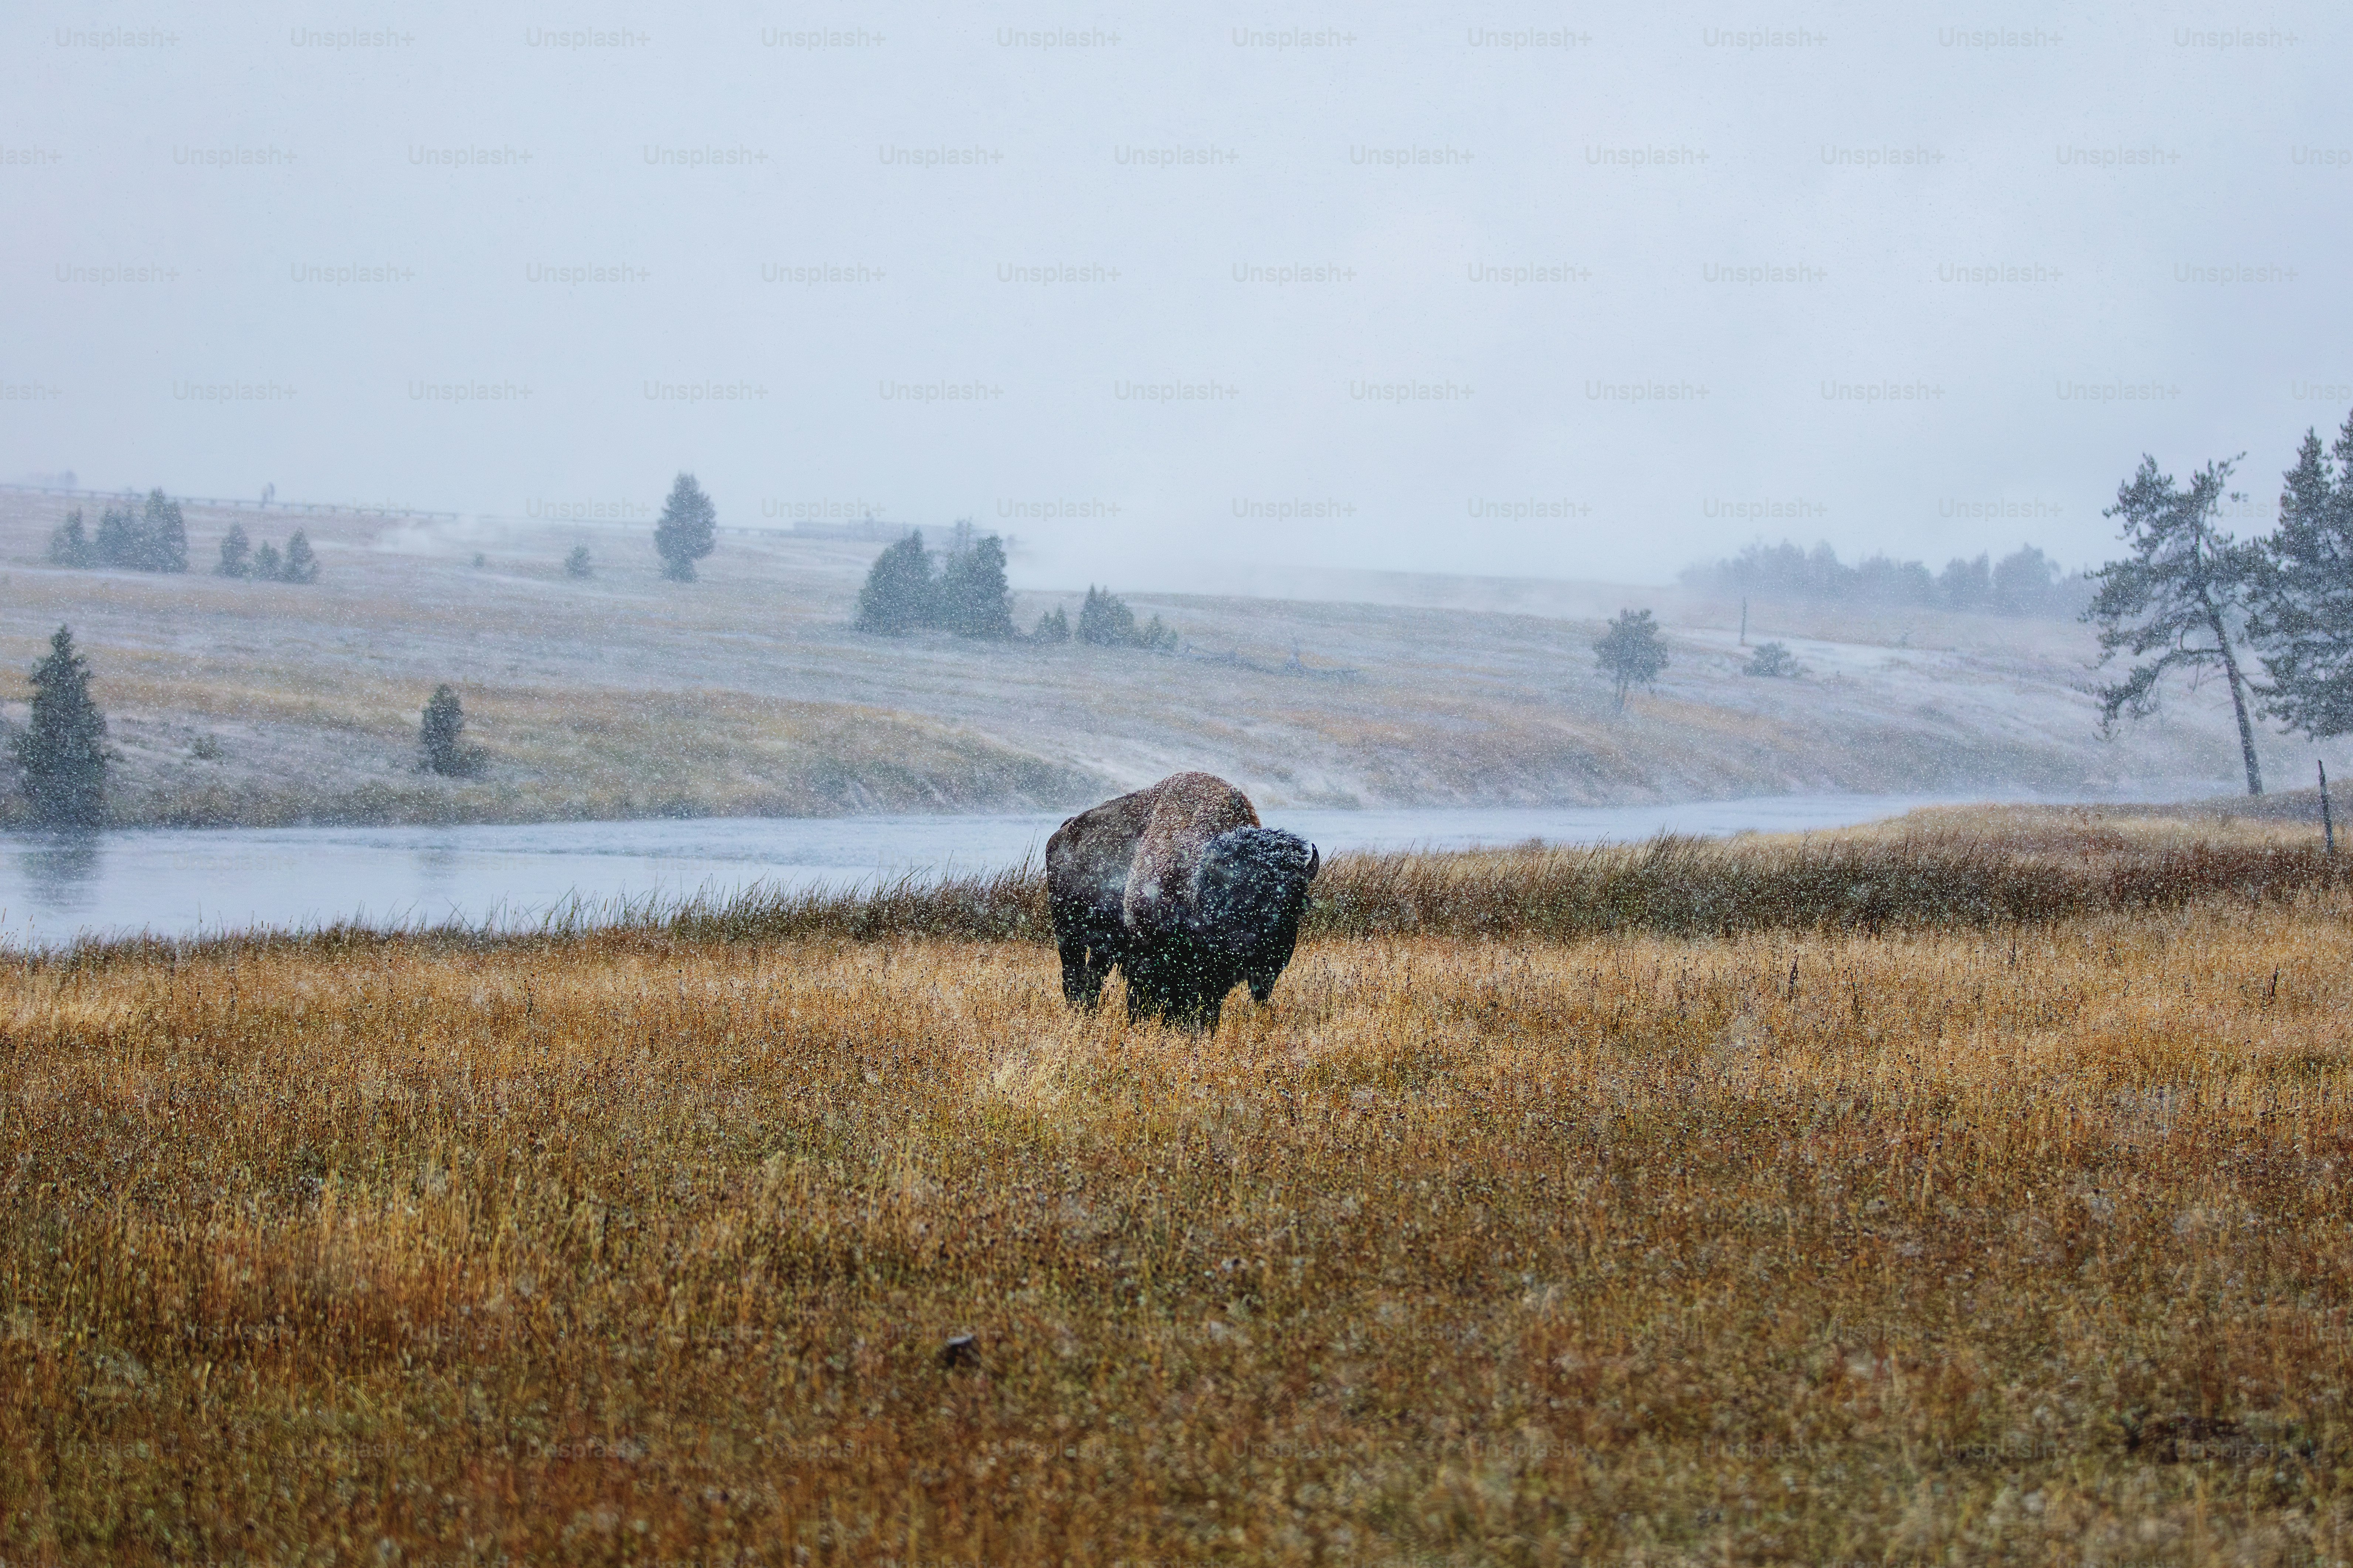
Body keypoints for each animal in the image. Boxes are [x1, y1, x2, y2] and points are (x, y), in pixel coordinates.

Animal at [1046, 771, 1320, 1030]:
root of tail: (1062, 833)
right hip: (1068, 934)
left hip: (1104, 946)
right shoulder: (1148, 959)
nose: (1266, 954)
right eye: (1235, 901)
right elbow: (1147, 1001)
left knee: (1092, 978)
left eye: (1295, 904)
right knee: (1074, 977)